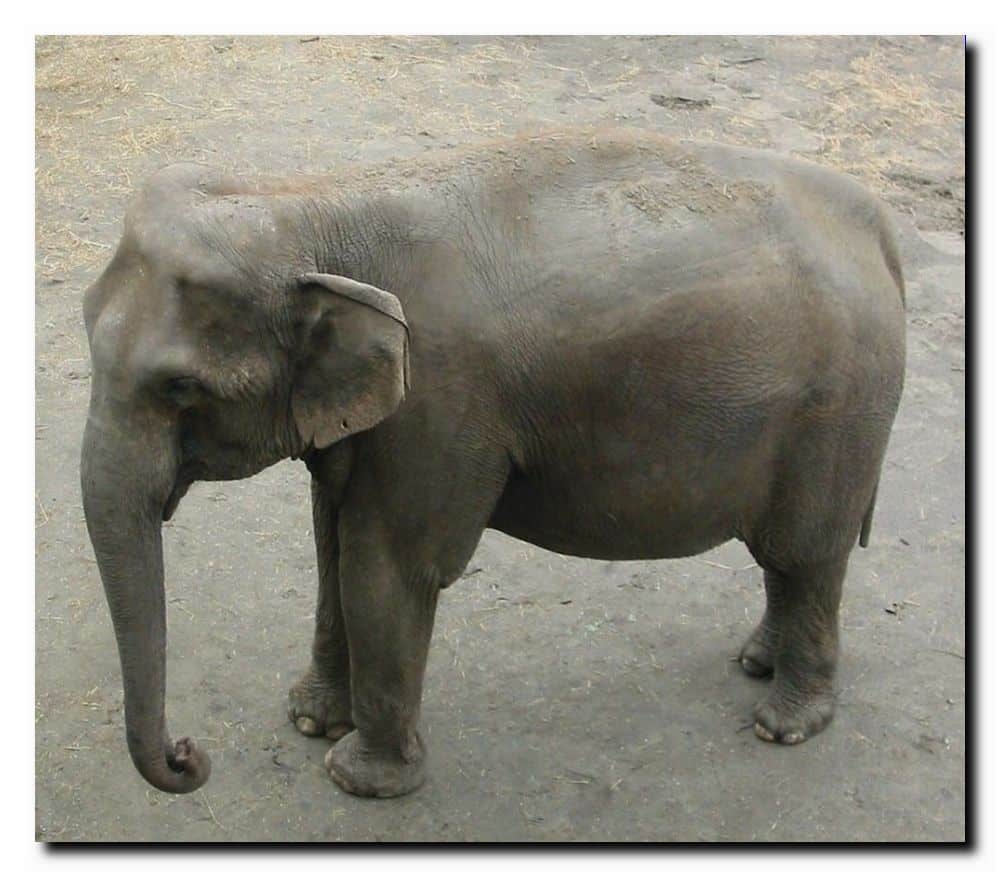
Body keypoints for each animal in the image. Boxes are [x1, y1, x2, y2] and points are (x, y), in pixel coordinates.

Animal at [80, 128, 906, 799]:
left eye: (178, 387)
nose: (188, 754)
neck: (313, 207)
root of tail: (874, 224)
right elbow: (330, 546)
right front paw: (311, 720)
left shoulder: (440, 400)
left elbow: (386, 567)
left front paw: (359, 778)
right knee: (787, 559)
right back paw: (756, 661)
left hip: (838, 409)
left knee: (808, 553)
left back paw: (784, 721)